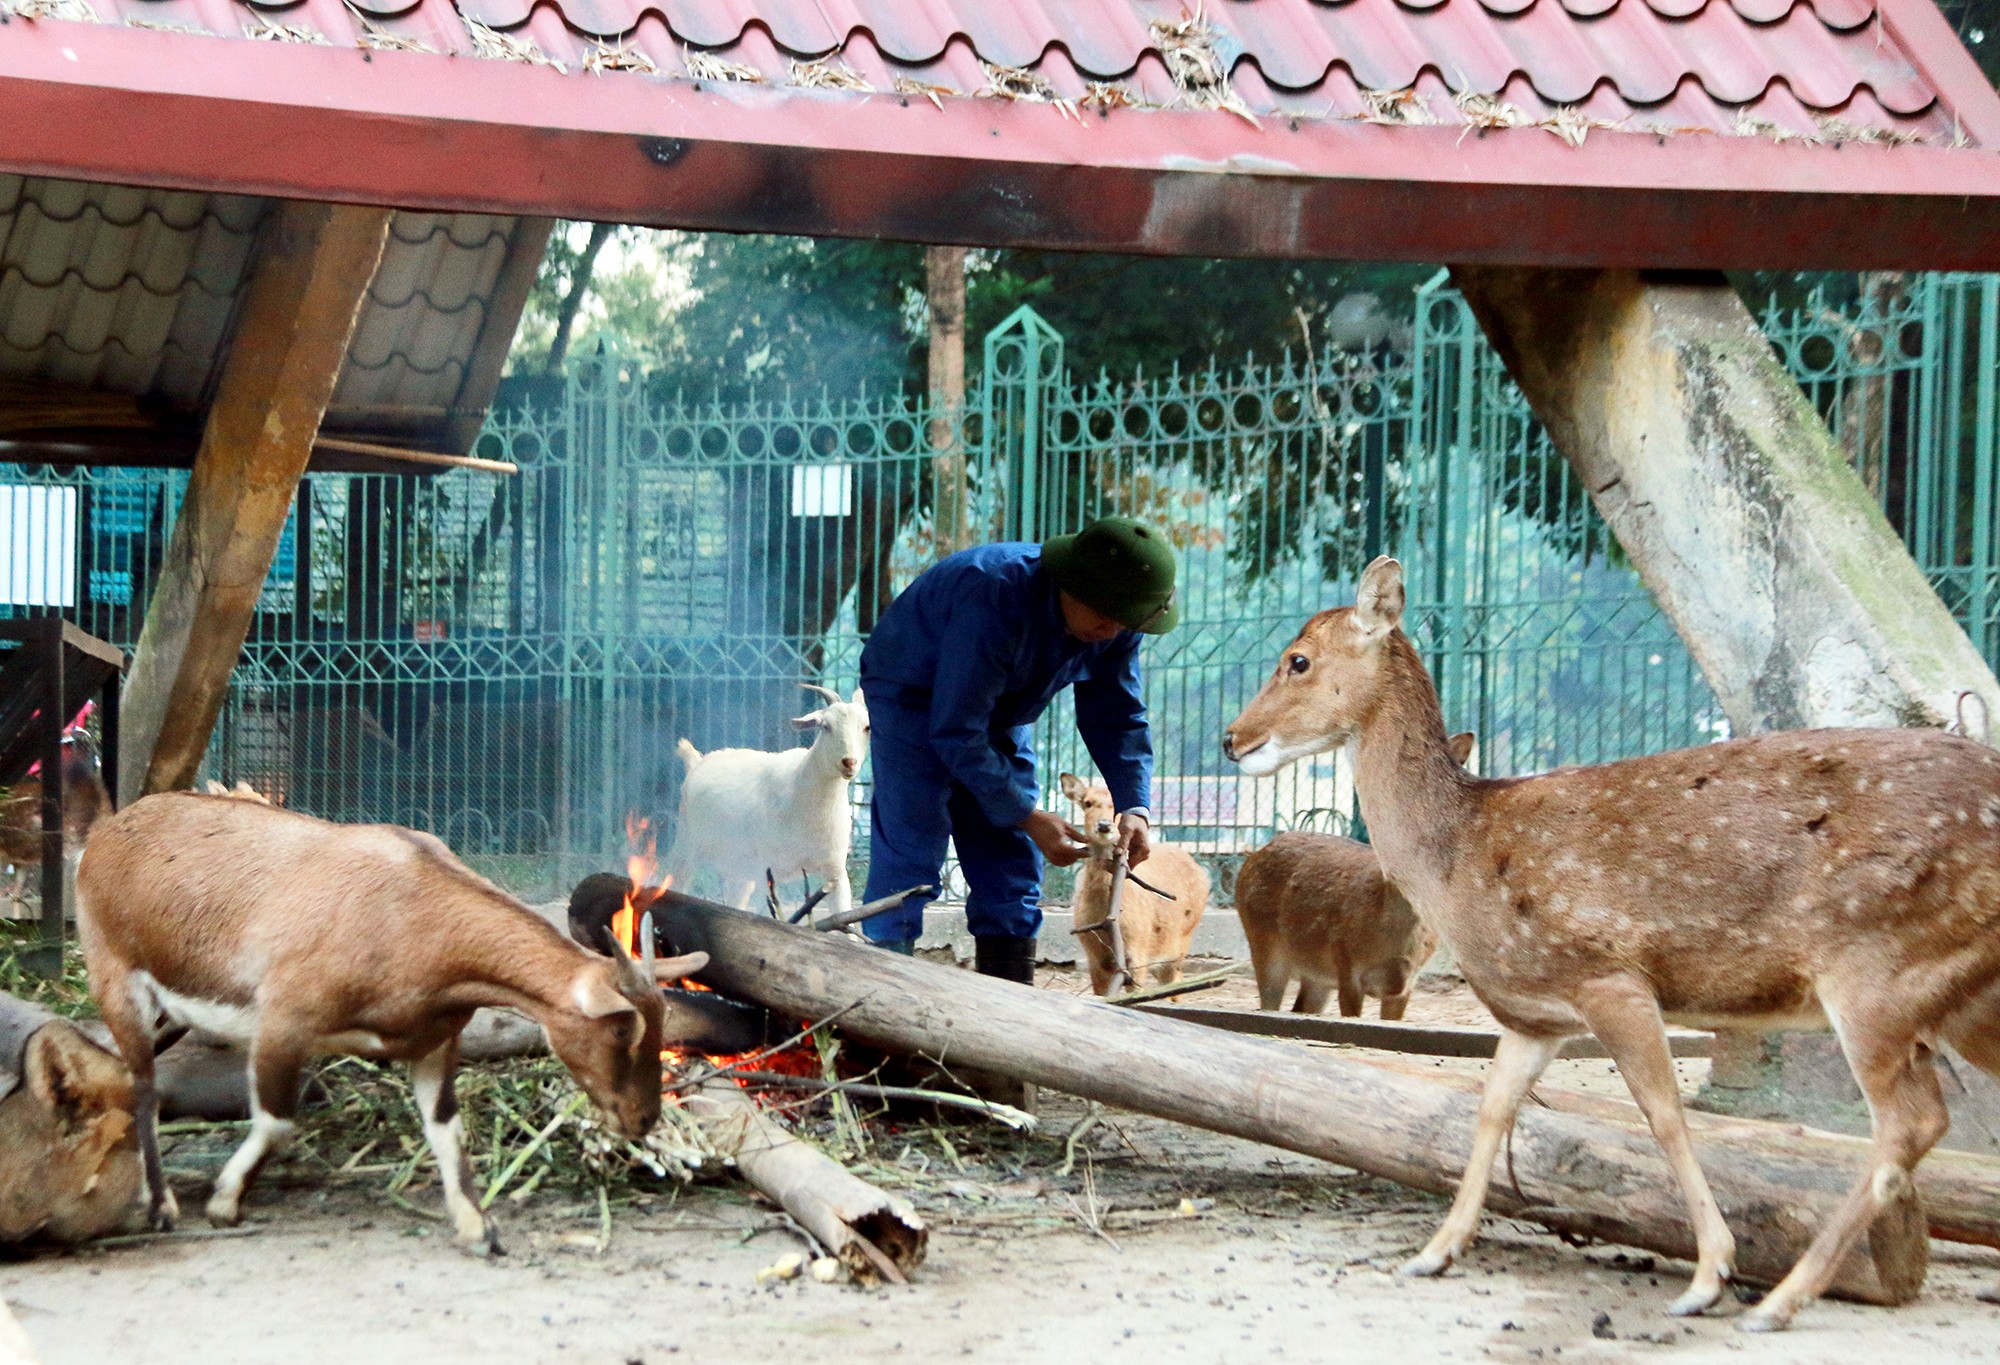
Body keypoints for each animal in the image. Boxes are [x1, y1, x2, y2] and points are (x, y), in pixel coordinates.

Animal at [664, 684, 868, 920]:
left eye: (867, 727)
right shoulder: (767, 872)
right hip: (686, 848)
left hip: (739, 869)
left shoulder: (835, 872)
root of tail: (697, 761)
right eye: (826, 726)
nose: (849, 762)